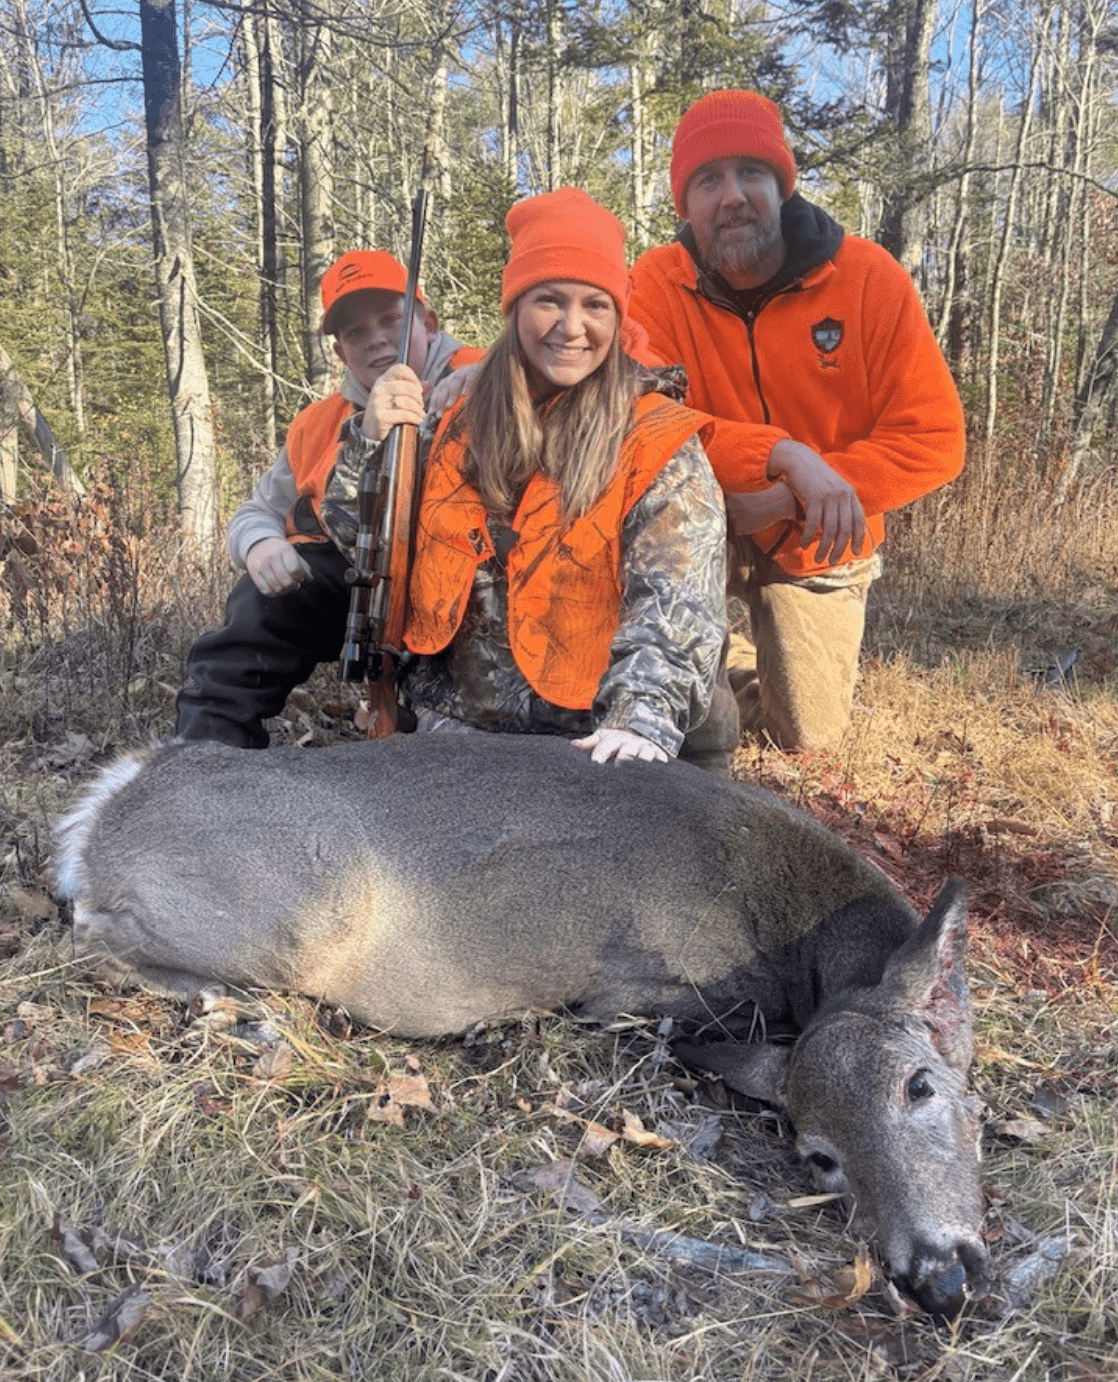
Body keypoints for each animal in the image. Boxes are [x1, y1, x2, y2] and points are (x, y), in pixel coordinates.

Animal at [52, 732, 991, 1317]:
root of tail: (102, 809)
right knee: (88, 937)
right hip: (313, 902)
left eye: (923, 1085)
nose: (939, 1279)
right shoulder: (639, 989)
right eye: (818, 1151)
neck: (786, 929)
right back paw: (247, 1010)